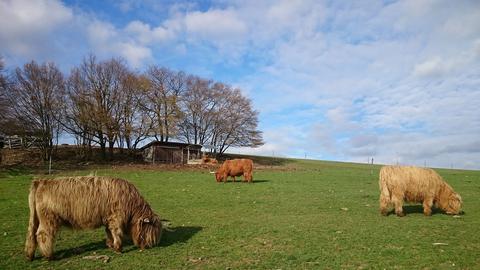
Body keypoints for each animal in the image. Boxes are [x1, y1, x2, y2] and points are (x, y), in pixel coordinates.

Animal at [24, 176, 162, 260]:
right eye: (149, 231)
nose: (148, 246)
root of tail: (41, 181)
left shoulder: (108, 218)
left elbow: (108, 232)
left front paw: (110, 245)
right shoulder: (116, 218)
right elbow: (116, 232)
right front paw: (118, 248)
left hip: (35, 219)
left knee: (31, 234)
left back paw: (29, 255)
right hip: (48, 219)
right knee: (43, 235)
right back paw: (49, 255)